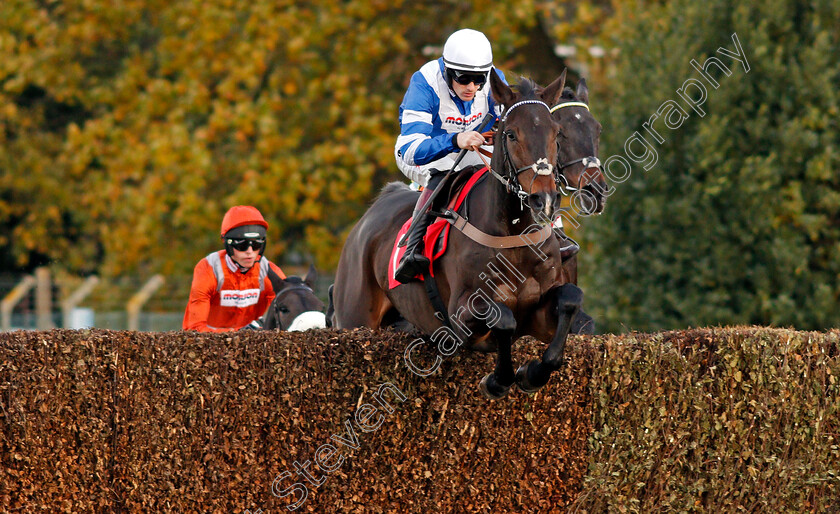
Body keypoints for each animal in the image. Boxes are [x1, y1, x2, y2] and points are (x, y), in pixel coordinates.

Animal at [328, 69, 604, 396]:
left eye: (554, 134)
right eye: (511, 134)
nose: (544, 199)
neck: (514, 236)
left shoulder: (541, 315)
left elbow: (570, 300)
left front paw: (531, 373)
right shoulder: (461, 316)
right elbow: (504, 319)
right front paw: (498, 380)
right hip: (355, 318)